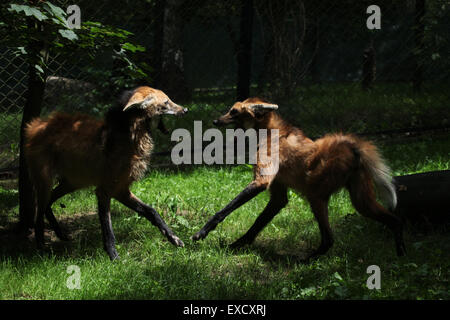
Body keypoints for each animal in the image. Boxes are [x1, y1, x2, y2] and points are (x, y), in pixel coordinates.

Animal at [24, 85, 186, 260]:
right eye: (166, 102)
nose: (185, 109)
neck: (130, 139)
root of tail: (36, 125)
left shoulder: (121, 189)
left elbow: (152, 211)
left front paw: (173, 238)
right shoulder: (104, 190)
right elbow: (108, 229)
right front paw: (113, 256)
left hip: (73, 182)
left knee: (48, 201)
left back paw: (60, 234)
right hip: (47, 181)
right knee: (39, 211)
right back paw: (41, 246)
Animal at [192, 97, 406, 260]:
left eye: (233, 112)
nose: (215, 122)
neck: (268, 132)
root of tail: (352, 146)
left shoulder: (262, 181)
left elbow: (223, 211)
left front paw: (203, 232)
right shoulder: (278, 195)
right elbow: (258, 222)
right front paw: (236, 245)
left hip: (316, 195)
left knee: (329, 239)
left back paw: (305, 260)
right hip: (362, 202)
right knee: (395, 221)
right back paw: (401, 256)